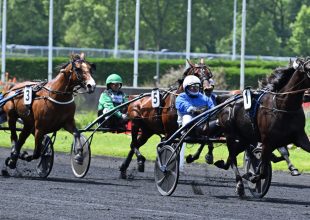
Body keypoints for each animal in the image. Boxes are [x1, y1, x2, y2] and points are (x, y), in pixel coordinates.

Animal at [214, 57, 310, 197]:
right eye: (309, 68)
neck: (283, 106)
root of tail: (227, 102)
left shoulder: (300, 138)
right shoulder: (267, 141)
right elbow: (263, 171)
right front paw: (253, 177)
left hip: (245, 138)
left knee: (233, 155)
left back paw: (223, 164)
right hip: (230, 135)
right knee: (233, 157)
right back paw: (239, 185)